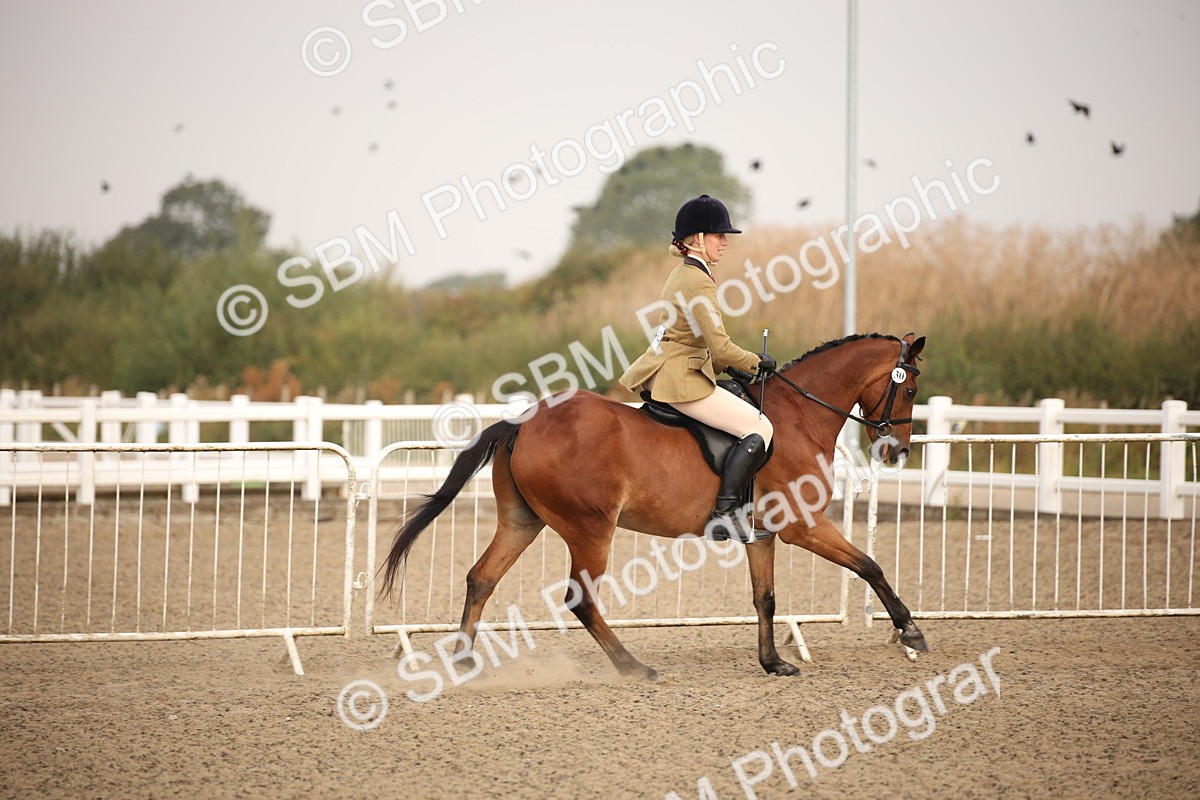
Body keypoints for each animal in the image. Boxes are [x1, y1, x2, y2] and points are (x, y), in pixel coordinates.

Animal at [380, 332, 928, 679]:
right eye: (912, 389)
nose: (896, 453)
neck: (798, 415)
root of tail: (523, 421)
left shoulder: (764, 533)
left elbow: (765, 598)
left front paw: (773, 663)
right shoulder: (804, 525)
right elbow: (870, 565)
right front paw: (910, 632)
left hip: (523, 521)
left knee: (482, 578)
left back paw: (464, 662)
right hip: (590, 528)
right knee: (580, 599)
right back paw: (632, 666)